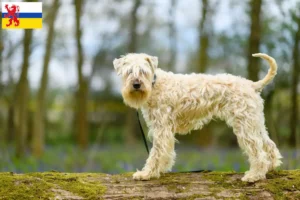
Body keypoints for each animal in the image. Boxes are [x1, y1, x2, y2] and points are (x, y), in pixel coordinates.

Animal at [112, 53, 282, 183]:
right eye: (128, 72)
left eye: (143, 71)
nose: (136, 84)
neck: (154, 85)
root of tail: (252, 85)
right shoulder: (163, 128)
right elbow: (165, 151)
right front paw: (161, 170)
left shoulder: (161, 127)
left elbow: (156, 152)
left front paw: (146, 173)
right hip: (255, 123)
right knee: (269, 145)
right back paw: (270, 166)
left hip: (245, 126)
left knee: (257, 152)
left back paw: (254, 175)